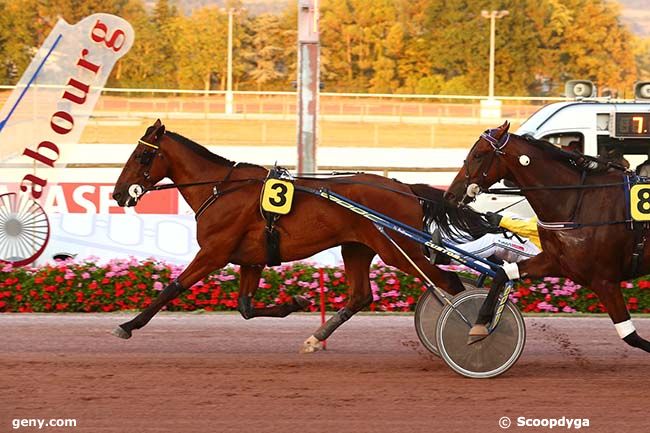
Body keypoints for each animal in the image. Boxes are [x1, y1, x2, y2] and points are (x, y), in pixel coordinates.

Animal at [110, 118, 492, 352]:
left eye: (142, 155)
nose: (117, 194)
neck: (221, 189)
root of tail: (406, 188)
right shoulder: (251, 259)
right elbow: (246, 308)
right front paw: (295, 302)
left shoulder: (214, 252)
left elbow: (173, 287)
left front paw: (128, 324)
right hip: (357, 248)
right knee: (361, 296)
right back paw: (315, 338)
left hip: (397, 250)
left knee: (449, 282)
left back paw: (473, 331)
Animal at [442, 121, 648, 352]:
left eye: (478, 154)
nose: (450, 194)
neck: (576, 202)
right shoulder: (554, 262)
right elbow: (504, 273)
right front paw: (480, 324)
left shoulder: (605, 280)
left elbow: (631, 336)